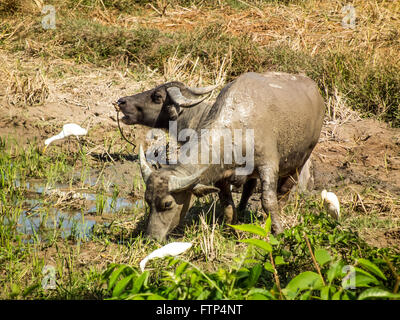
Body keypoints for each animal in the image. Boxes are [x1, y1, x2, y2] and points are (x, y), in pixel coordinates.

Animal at [138, 72, 324, 240]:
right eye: (147, 201)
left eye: (167, 203)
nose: (151, 238)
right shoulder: (221, 177)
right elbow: (227, 205)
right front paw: (233, 230)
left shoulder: (268, 165)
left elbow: (268, 201)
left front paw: (278, 231)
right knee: (249, 188)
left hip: (301, 158)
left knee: (284, 190)